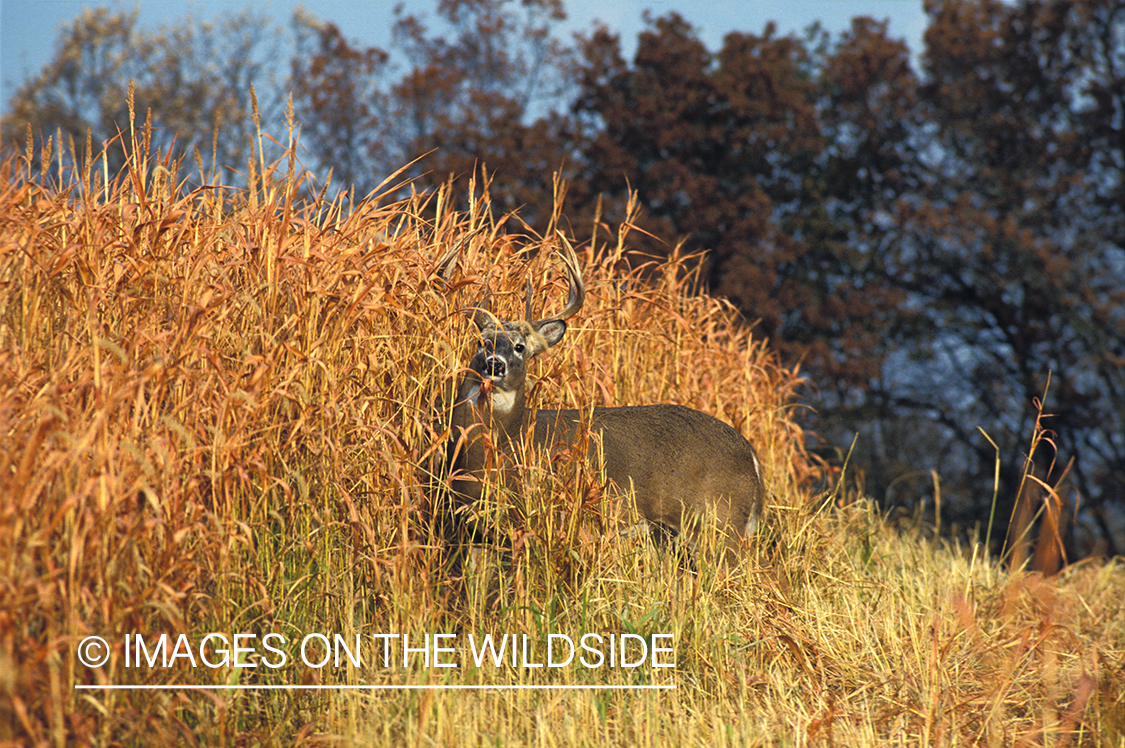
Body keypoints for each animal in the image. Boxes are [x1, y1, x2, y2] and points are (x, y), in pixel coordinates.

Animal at [438, 244, 765, 560]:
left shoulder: (534, 515)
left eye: (520, 347)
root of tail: (751, 454)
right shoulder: (476, 528)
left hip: (718, 522)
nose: (494, 364)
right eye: (481, 342)